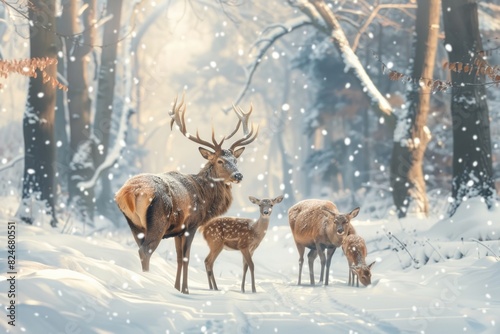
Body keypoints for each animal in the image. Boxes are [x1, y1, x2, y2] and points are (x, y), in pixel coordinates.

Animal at [115, 95, 260, 294]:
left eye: (235, 160)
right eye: (220, 161)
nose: (238, 176)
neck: (205, 197)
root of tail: (130, 192)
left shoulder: (177, 231)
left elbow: (178, 257)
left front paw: (177, 288)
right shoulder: (191, 224)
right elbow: (186, 257)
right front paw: (185, 290)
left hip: (134, 225)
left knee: (140, 248)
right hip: (158, 221)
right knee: (146, 251)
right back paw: (150, 284)